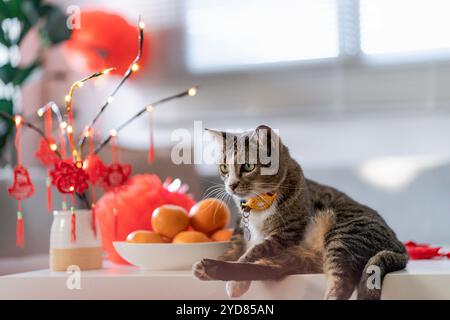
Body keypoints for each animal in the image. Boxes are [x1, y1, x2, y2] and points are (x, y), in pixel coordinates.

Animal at [193, 125, 408, 300]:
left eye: (248, 166)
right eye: (224, 168)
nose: (231, 186)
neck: (257, 205)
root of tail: (400, 248)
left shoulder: (286, 233)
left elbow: (254, 251)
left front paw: (236, 283)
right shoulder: (240, 228)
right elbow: (234, 247)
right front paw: (218, 260)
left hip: (344, 236)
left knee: (342, 283)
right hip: (301, 257)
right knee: (270, 269)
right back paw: (211, 268)